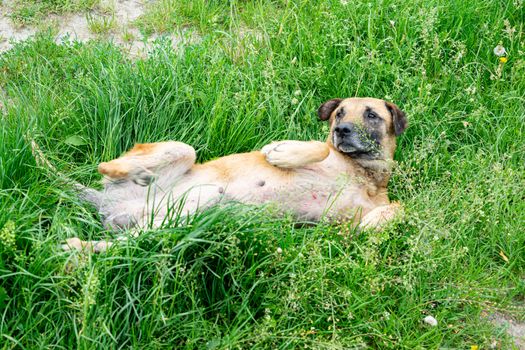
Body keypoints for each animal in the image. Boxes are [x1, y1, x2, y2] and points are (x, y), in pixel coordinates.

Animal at [65, 97, 408, 252]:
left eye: (371, 114)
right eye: (339, 113)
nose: (342, 130)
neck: (363, 173)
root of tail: (108, 202)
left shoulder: (349, 221)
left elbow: (397, 209)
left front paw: (373, 224)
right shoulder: (326, 150)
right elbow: (318, 148)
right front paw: (279, 152)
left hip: (166, 226)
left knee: (116, 245)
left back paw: (77, 249)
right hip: (182, 155)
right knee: (106, 165)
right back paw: (136, 173)